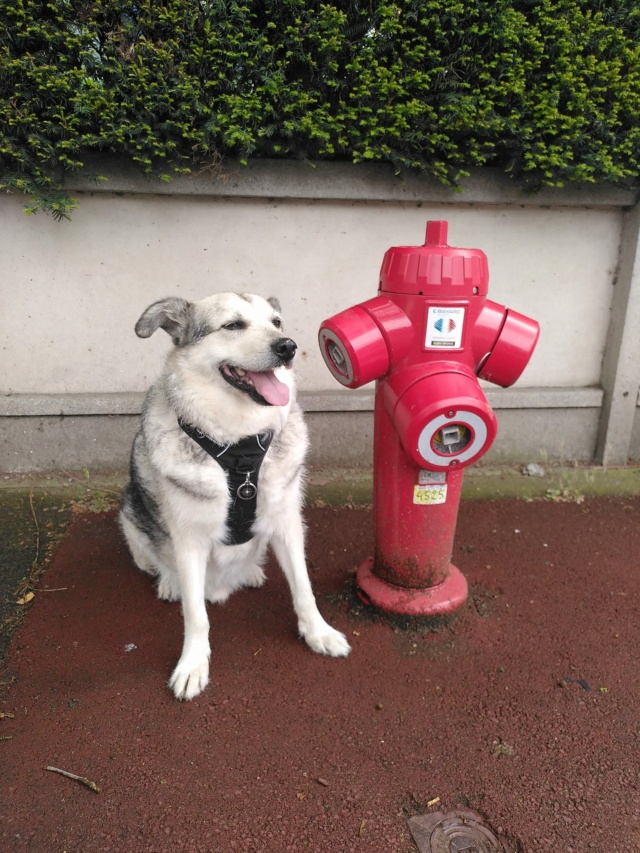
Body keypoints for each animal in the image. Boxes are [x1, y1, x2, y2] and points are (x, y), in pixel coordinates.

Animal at [119, 292, 350, 700]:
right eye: (233, 325)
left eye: (276, 322)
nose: (288, 346)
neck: (239, 445)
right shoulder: (189, 540)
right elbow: (195, 615)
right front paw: (193, 664)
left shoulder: (288, 523)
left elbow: (303, 588)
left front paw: (318, 633)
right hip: (131, 510)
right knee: (154, 557)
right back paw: (168, 581)